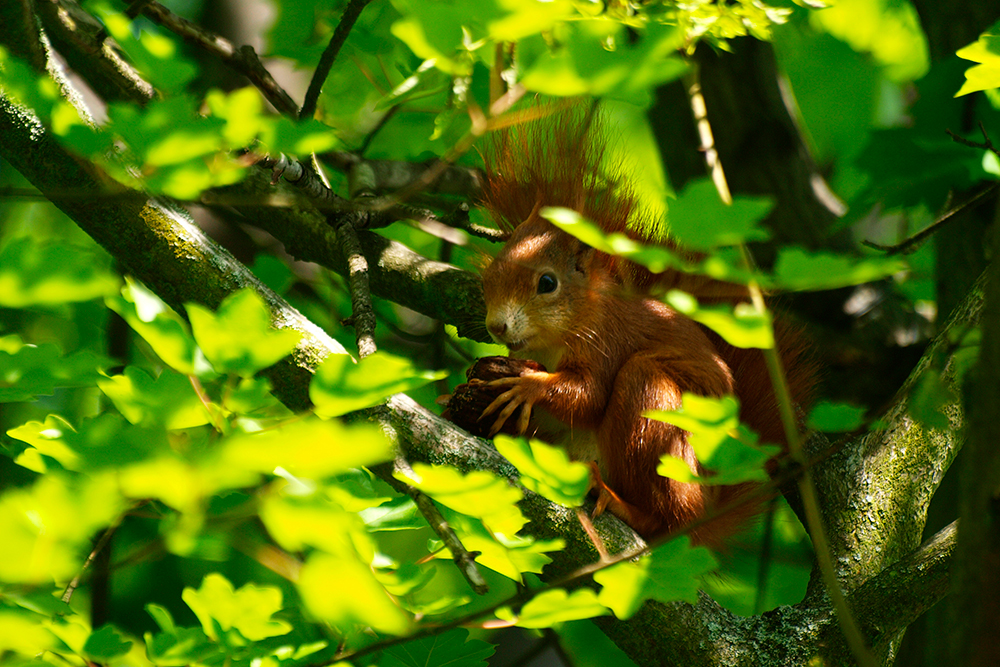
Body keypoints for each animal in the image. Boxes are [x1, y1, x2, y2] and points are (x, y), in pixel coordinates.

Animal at [470, 108, 812, 548]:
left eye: (547, 283)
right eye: (490, 276)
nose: (497, 326)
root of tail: (707, 517)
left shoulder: (608, 340)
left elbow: (588, 396)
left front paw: (528, 385)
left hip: (658, 422)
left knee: (665, 513)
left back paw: (622, 504)